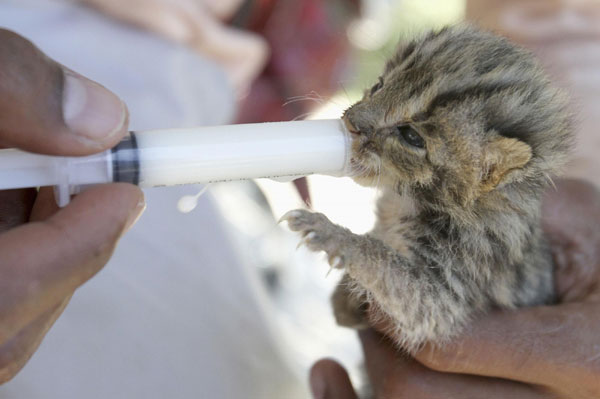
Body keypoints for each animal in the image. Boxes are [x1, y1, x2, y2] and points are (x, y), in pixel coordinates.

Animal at [284, 25, 576, 352]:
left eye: (411, 137)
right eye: (379, 86)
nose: (351, 124)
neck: (405, 200)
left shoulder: (446, 295)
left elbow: (387, 264)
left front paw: (334, 236)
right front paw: (344, 300)